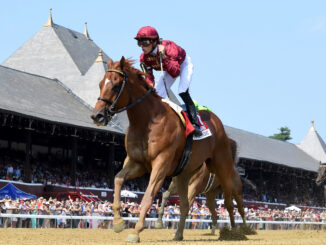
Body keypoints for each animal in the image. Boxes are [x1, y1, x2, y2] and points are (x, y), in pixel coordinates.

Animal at [90, 57, 236, 243]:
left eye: (115, 85)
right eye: (100, 84)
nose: (97, 116)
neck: (147, 122)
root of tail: (218, 123)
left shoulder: (161, 163)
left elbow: (148, 196)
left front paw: (135, 232)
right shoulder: (137, 163)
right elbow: (117, 179)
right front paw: (118, 223)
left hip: (221, 166)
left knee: (229, 201)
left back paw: (236, 231)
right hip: (185, 174)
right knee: (186, 205)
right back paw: (179, 234)